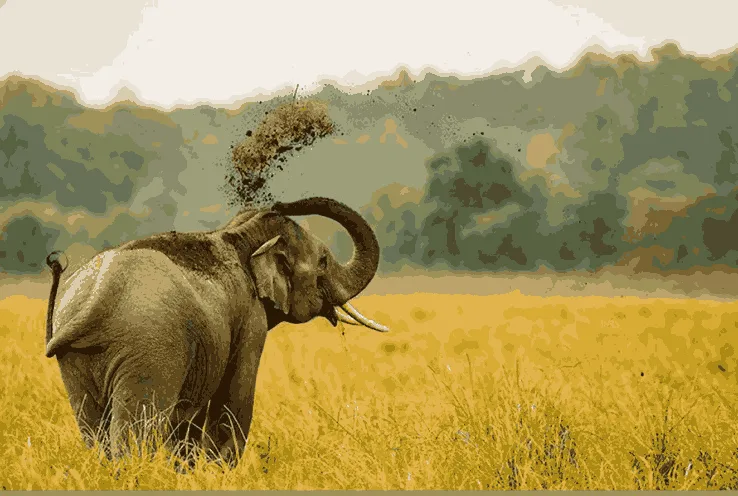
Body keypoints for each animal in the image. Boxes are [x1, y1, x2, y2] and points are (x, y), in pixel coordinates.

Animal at [43, 196, 389, 466]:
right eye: (323, 261)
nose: (280, 203)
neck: (238, 235)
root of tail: (97, 297)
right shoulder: (250, 317)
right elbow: (236, 391)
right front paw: (220, 470)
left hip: (77, 360)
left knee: (93, 427)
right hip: (150, 350)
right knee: (138, 426)